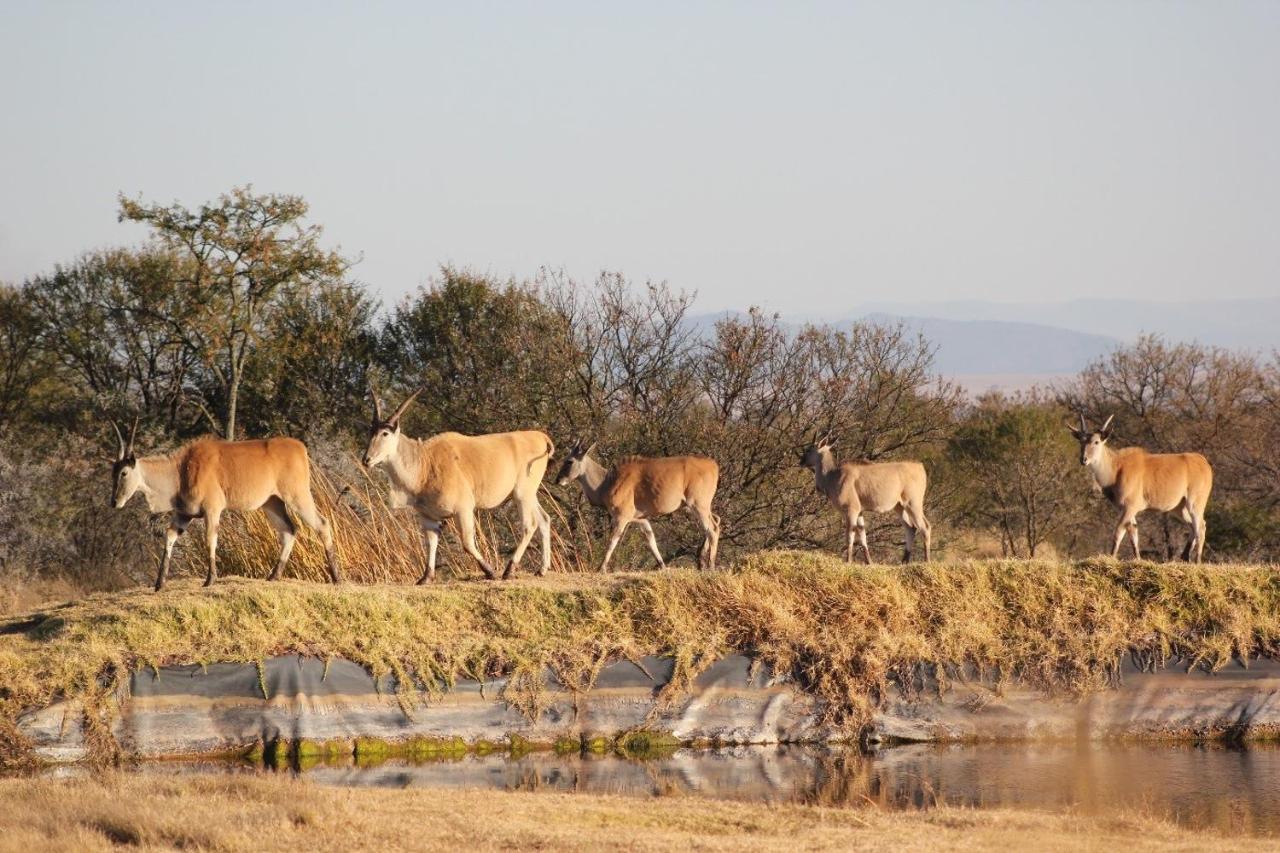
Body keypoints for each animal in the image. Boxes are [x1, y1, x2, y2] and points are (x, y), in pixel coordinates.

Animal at [108, 414, 343, 589]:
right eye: (113, 472)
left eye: (124, 473)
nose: (114, 502)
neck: (182, 469)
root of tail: (300, 448)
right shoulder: (184, 514)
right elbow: (170, 536)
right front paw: (159, 583)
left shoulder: (212, 510)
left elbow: (210, 540)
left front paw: (210, 579)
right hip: (272, 503)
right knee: (289, 530)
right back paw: (273, 576)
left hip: (297, 496)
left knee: (322, 524)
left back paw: (336, 578)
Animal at [366, 384, 555, 578]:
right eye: (371, 432)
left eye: (385, 433)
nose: (367, 459)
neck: (425, 463)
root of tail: (541, 438)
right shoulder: (428, 517)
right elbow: (431, 544)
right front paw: (426, 577)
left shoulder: (463, 509)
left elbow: (467, 543)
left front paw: (490, 572)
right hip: (529, 495)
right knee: (544, 520)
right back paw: (542, 569)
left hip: (521, 495)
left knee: (529, 525)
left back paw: (509, 569)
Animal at [555, 438, 727, 571]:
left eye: (569, 461)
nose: (558, 480)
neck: (608, 482)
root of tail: (713, 465)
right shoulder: (641, 519)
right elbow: (651, 541)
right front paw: (662, 566)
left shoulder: (621, 518)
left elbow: (612, 541)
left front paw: (601, 568)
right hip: (697, 507)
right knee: (716, 521)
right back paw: (702, 561)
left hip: (697, 505)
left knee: (712, 529)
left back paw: (710, 565)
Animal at [798, 432, 931, 563]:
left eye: (809, 449)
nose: (801, 462)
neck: (832, 475)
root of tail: (920, 467)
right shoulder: (860, 512)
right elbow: (863, 536)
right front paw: (869, 562)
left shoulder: (851, 510)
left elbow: (850, 535)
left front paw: (848, 561)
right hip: (899, 507)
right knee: (910, 527)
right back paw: (904, 561)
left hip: (913, 504)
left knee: (925, 527)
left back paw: (926, 560)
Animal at [1070, 409, 1208, 558]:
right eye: (1081, 441)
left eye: (1096, 442)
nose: (1083, 459)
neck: (1116, 468)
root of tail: (1204, 462)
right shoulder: (1126, 510)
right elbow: (1134, 534)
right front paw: (1137, 558)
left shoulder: (1130, 507)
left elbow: (1118, 533)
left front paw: (1111, 557)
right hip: (1179, 508)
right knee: (1194, 526)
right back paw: (1185, 557)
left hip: (1195, 503)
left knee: (1200, 527)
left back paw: (1197, 560)